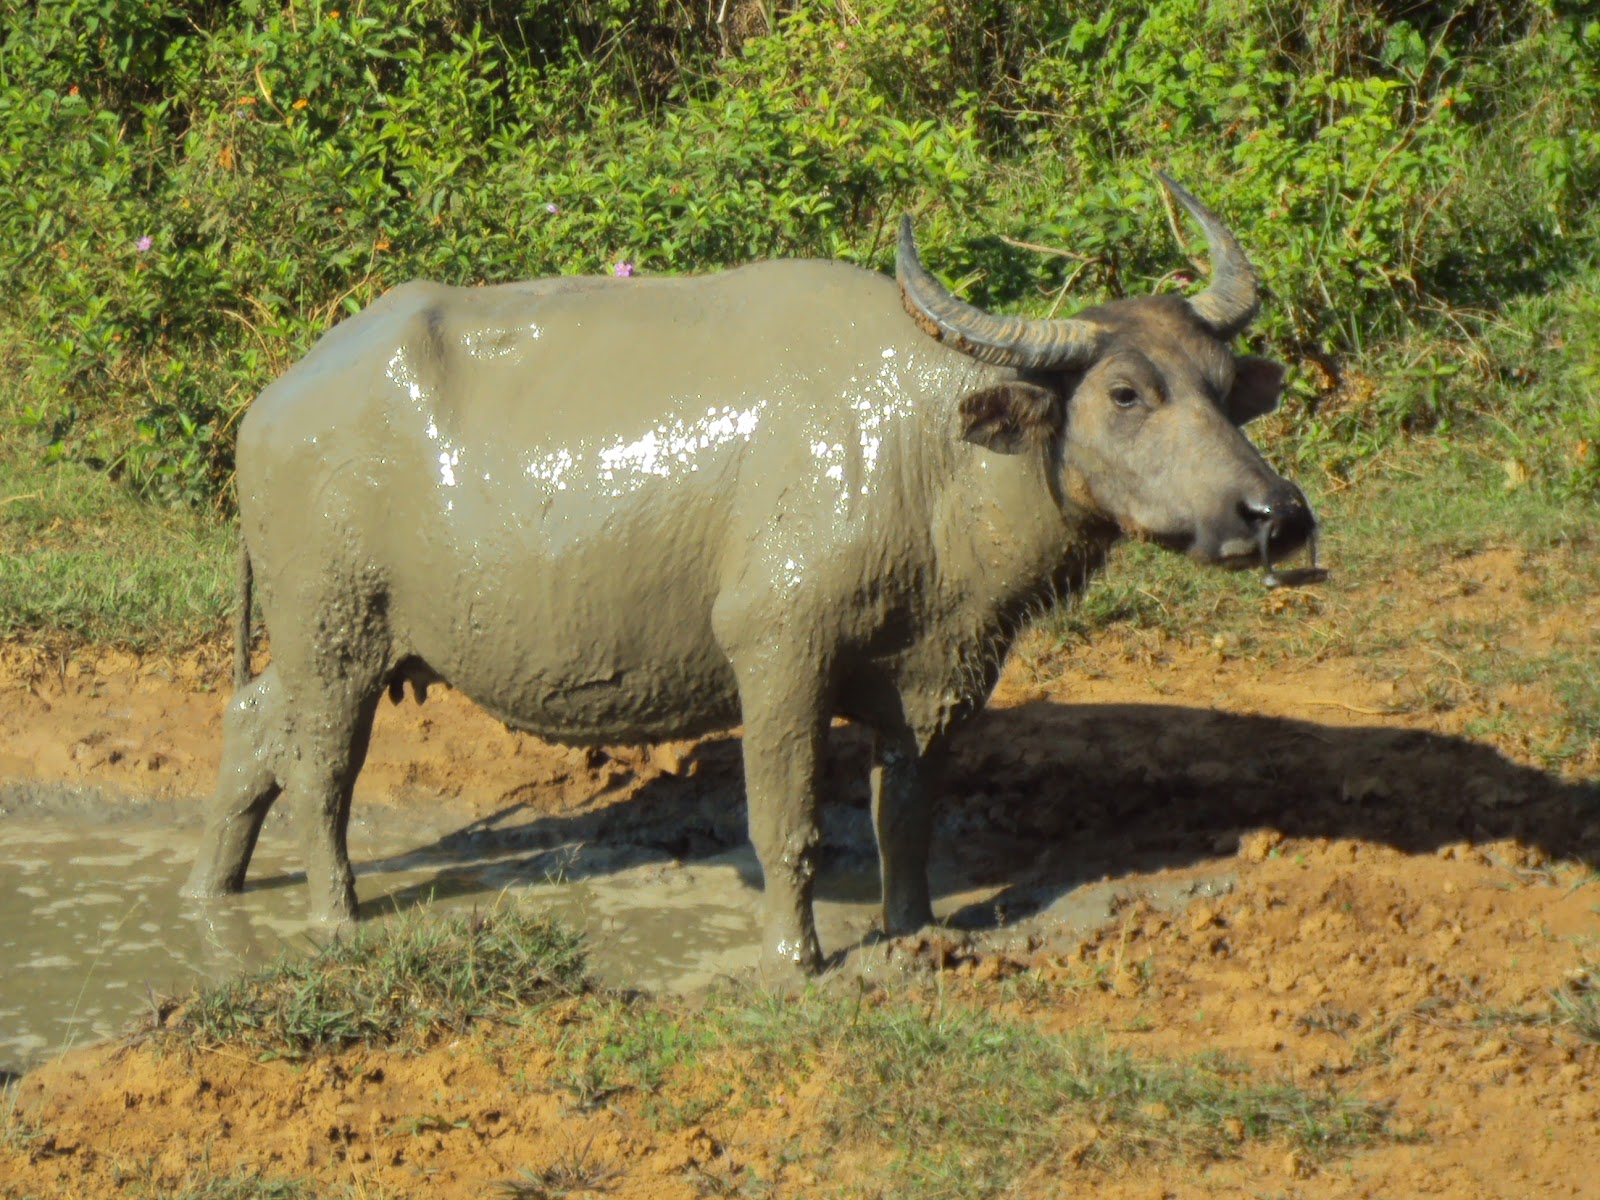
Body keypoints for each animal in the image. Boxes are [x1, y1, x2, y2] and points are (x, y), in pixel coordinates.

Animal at [184, 173, 1312, 979]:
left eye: (1223, 388)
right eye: (1123, 393)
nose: (1276, 514)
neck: (926, 454)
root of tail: (267, 409)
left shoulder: (934, 671)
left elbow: (905, 813)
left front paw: (914, 931)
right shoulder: (779, 651)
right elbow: (788, 822)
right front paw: (796, 955)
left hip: (329, 639)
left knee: (252, 724)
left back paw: (210, 890)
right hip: (335, 630)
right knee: (320, 771)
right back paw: (335, 917)